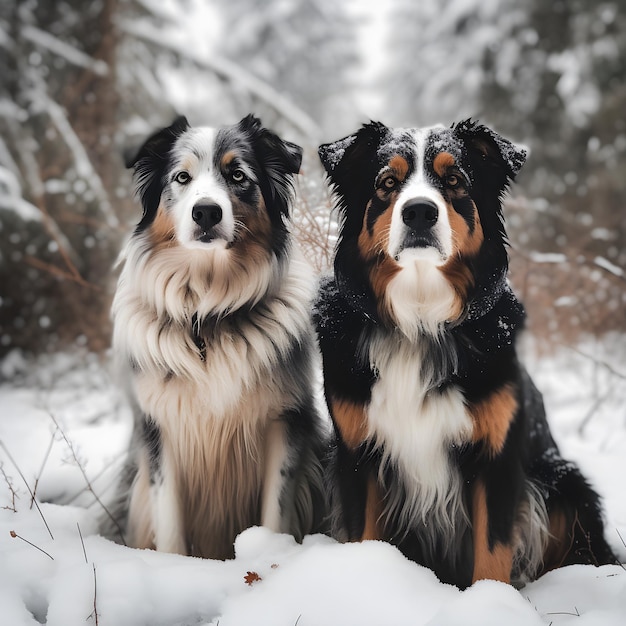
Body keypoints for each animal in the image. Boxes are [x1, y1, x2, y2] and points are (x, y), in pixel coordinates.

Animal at [312, 118, 616, 584]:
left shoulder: (495, 456)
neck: (420, 319)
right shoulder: (358, 453)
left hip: (564, 481)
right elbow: (365, 536)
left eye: (454, 180)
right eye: (387, 183)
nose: (420, 211)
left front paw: (492, 599)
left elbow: (492, 554)